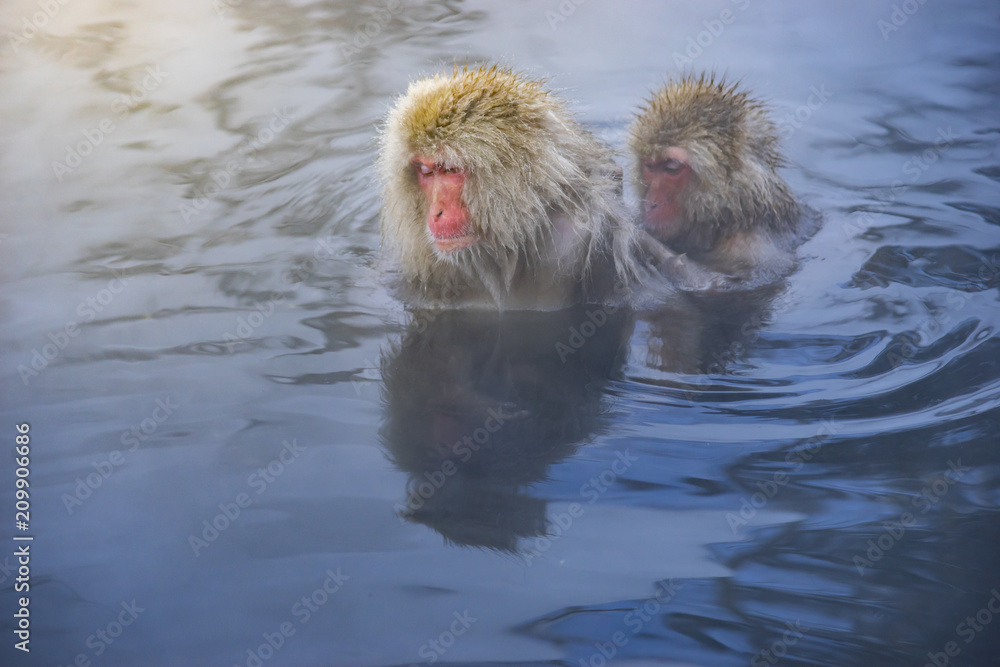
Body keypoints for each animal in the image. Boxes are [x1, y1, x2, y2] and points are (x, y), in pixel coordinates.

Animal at [628, 74, 818, 289]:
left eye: (672, 168)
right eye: (650, 166)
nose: (650, 204)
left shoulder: (751, 246)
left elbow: (726, 283)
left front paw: (639, 236)